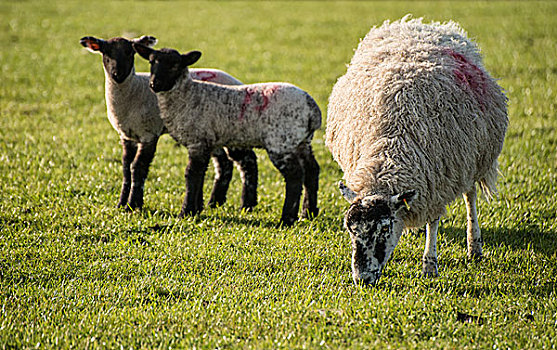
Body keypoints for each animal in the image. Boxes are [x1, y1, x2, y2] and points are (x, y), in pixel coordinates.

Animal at [79, 34, 258, 211]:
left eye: (130, 53)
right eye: (106, 53)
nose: (118, 74)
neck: (133, 92)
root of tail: (238, 82)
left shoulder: (149, 133)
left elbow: (138, 167)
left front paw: (133, 204)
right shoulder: (127, 136)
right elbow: (125, 167)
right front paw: (122, 203)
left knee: (247, 160)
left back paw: (247, 204)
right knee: (224, 163)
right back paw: (214, 202)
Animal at [132, 43, 320, 227]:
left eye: (175, 65)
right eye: (151, 62)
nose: (154, 84)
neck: (188, 95)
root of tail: (312, 108)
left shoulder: (197, 141)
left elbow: (191, 174)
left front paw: (185, 212)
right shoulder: (206, 143)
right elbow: (201, 174)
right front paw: (196, 209)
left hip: (281, 142)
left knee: (295, 176)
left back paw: (287, 219)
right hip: (301, 142)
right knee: (312, 170)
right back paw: (308, 212)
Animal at [326, 16, 508, 286]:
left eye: (385, 228)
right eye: (350, 230)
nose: (362, 279)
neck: (389, 150)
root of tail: (423, 25)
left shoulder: (438, 182)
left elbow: (434, 222)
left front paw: (429, 265)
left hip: (471, 160)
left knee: (470, 196)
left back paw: (474, 246)